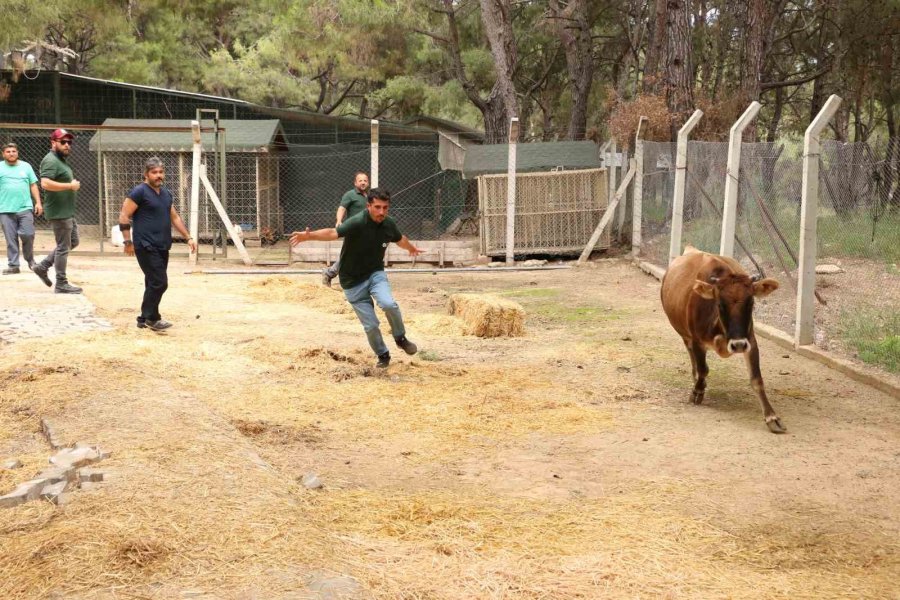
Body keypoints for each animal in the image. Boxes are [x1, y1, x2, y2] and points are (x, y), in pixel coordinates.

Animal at [656, 246, 784, 434]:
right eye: (720, 304)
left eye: (751, 303)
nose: (738, 345)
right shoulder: (697, 341)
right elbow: (703, 369)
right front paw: (697, 392)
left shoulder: (750, 340)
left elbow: (756, 379)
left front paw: (772, 417)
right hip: (685, 335)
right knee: (693, 358)